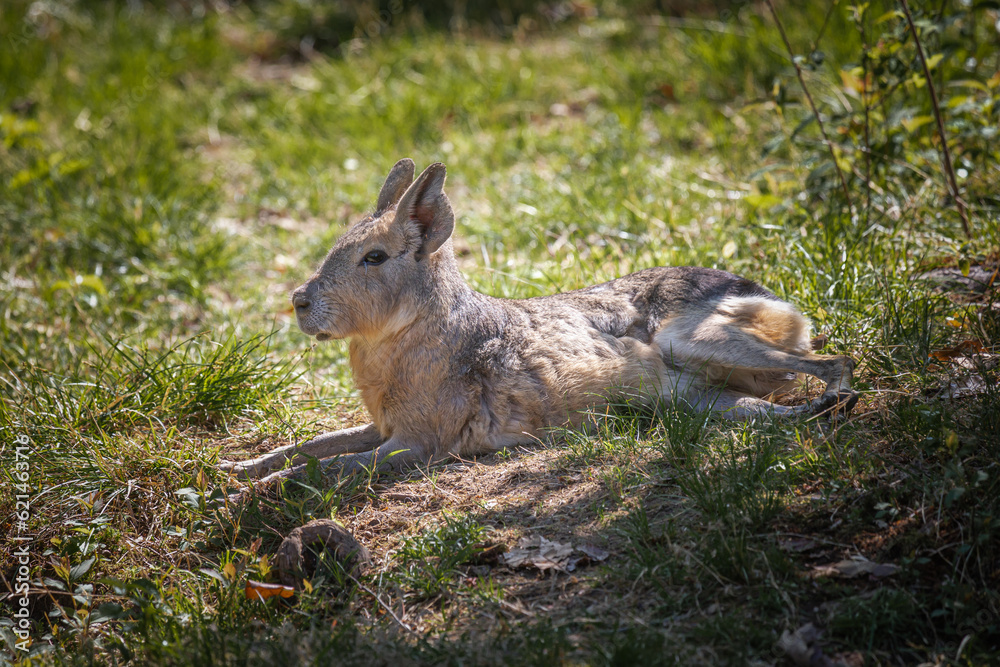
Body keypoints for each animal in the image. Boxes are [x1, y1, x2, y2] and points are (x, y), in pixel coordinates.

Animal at [219, 159, 857, 487]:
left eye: (373, 258)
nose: (299, 302)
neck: (411, 335)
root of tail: (775, 302)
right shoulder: (382, 427)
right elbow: (306, 447)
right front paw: (232, 468)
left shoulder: (419, 443)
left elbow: (326, 468)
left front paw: (240, 494)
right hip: (702, 399)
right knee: (774, 411)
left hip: (695, 339)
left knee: (835, 363)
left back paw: (836, 402)